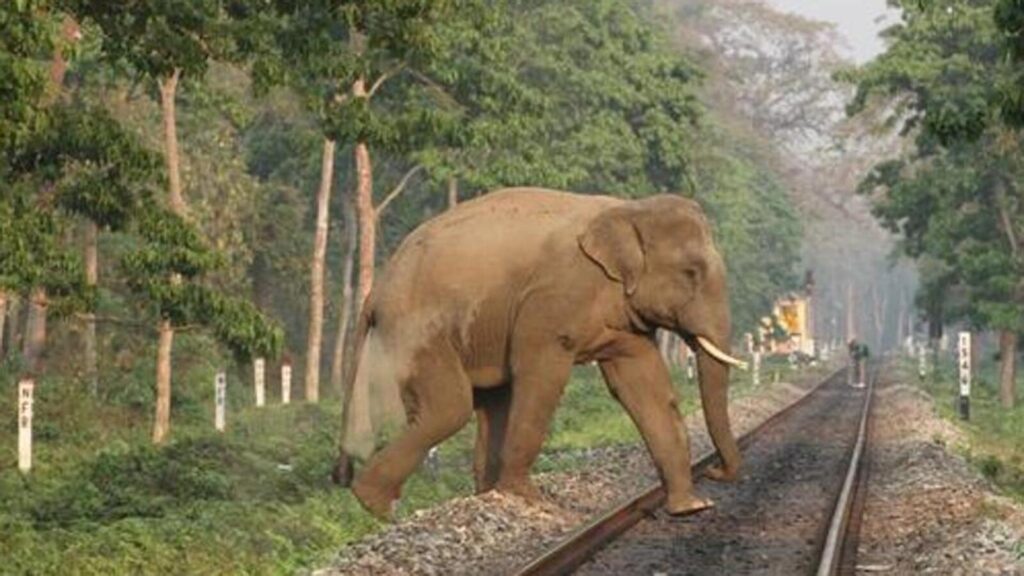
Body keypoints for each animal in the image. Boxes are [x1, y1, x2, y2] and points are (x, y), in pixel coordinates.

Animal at [334, 187, 747, 520]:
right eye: (691, 273)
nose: (715, 472)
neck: (627, 209)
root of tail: (376, 292)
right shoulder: (553, 298)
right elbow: (540, 374)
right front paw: (530, 499)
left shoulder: (624, 319)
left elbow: (643, 387)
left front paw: (690, 508)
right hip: (416, 332)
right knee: (449, 408)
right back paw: (377, 506)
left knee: (489, 404)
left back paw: (479, 495)